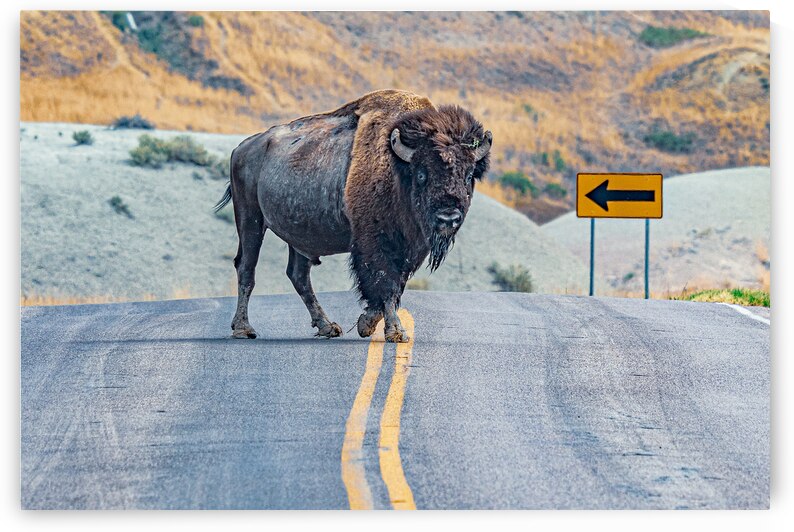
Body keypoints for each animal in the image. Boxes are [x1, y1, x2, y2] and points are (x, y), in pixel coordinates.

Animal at [214, 89, 492, 342]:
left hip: (298, 236)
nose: (448, 217)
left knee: (298, 275)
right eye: (422, 174)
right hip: (250, 219)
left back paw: (327, 327)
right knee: (246, 268)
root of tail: (242, 148)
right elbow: (385, 283)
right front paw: (395, 332)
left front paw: (366, 324)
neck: (398, 168)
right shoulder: (375, 242)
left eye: (469, 175)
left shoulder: (411, 249)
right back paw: (243, 329)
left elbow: (395, 286)